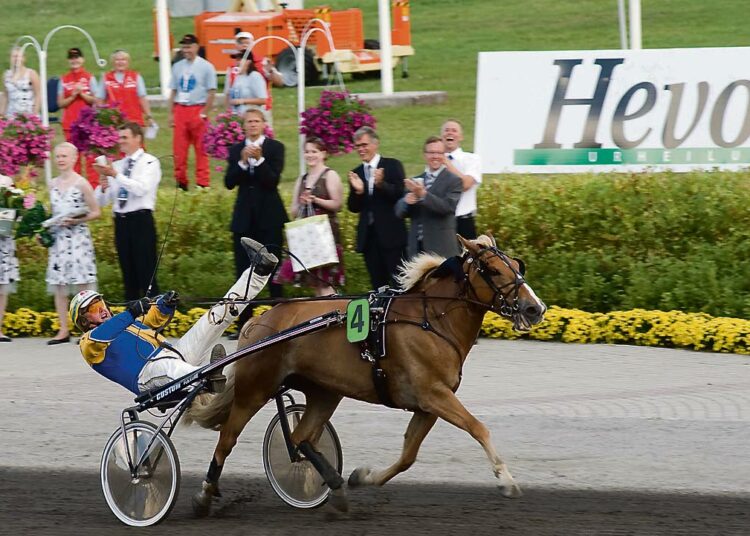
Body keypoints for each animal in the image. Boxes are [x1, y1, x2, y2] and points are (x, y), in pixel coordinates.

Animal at [189, 234, 548, 516]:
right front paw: (506, 480)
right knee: (227, 440)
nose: (535, 308)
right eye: (493, 270)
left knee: (300, 437)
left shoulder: (428, 404)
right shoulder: (434, 394)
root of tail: (260, 320)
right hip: (255, 388)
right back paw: (204, 496)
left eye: (518, 266)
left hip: (325, 392)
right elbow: (478, 427)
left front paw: (363, 477)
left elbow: (408, 456)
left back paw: (335, 486)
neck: (430, 321)